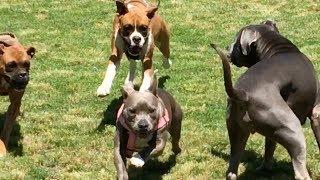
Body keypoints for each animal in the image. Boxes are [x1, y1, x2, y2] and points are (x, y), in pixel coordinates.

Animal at [210, 20, 320, 180]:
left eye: (236, 43)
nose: (226, 47)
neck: (281, 48)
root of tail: (243, 93)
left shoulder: (274, 131)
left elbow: (269, 146)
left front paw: (265, 167)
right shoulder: (316, 114)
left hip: (237, 131)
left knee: (232, 169)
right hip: (293, 131)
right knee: (300, 173)